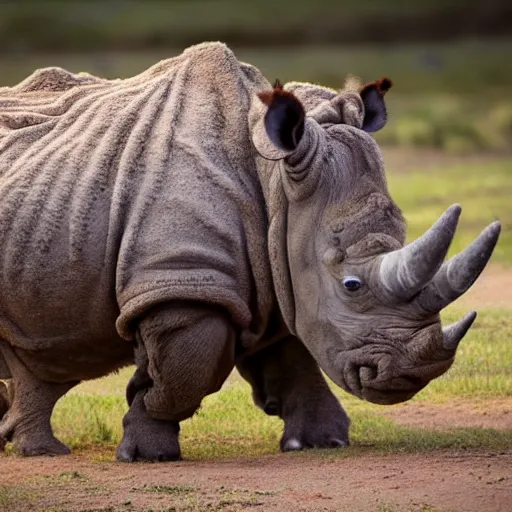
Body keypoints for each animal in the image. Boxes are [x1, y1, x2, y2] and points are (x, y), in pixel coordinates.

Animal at [0, 43, 500, 460]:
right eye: (352, 285)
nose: (416, 373)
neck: (275, 179)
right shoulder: (181, 279)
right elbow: (188, 370)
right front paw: (146, 447)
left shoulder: (279, 267)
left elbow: (293, 354)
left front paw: (320, 442)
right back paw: (43, 453)